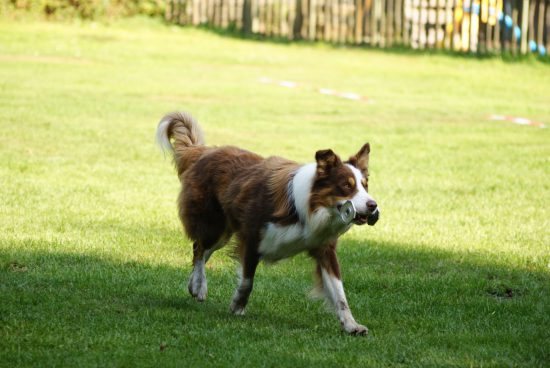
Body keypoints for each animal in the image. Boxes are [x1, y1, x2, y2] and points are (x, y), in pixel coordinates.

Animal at [155, 111, 380, 334]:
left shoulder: (324, 248)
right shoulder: (252, 238)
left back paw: (193, 284)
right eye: (346, 186)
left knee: (200, 249)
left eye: (365, 185)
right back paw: (199, 286)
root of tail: (203, 151)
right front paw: (237, 305)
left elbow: (339, 293)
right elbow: (247, 282)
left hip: (224, 231)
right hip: (214, 225)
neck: (309, 207)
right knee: (200, 248)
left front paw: (351, 325)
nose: (373, 205)